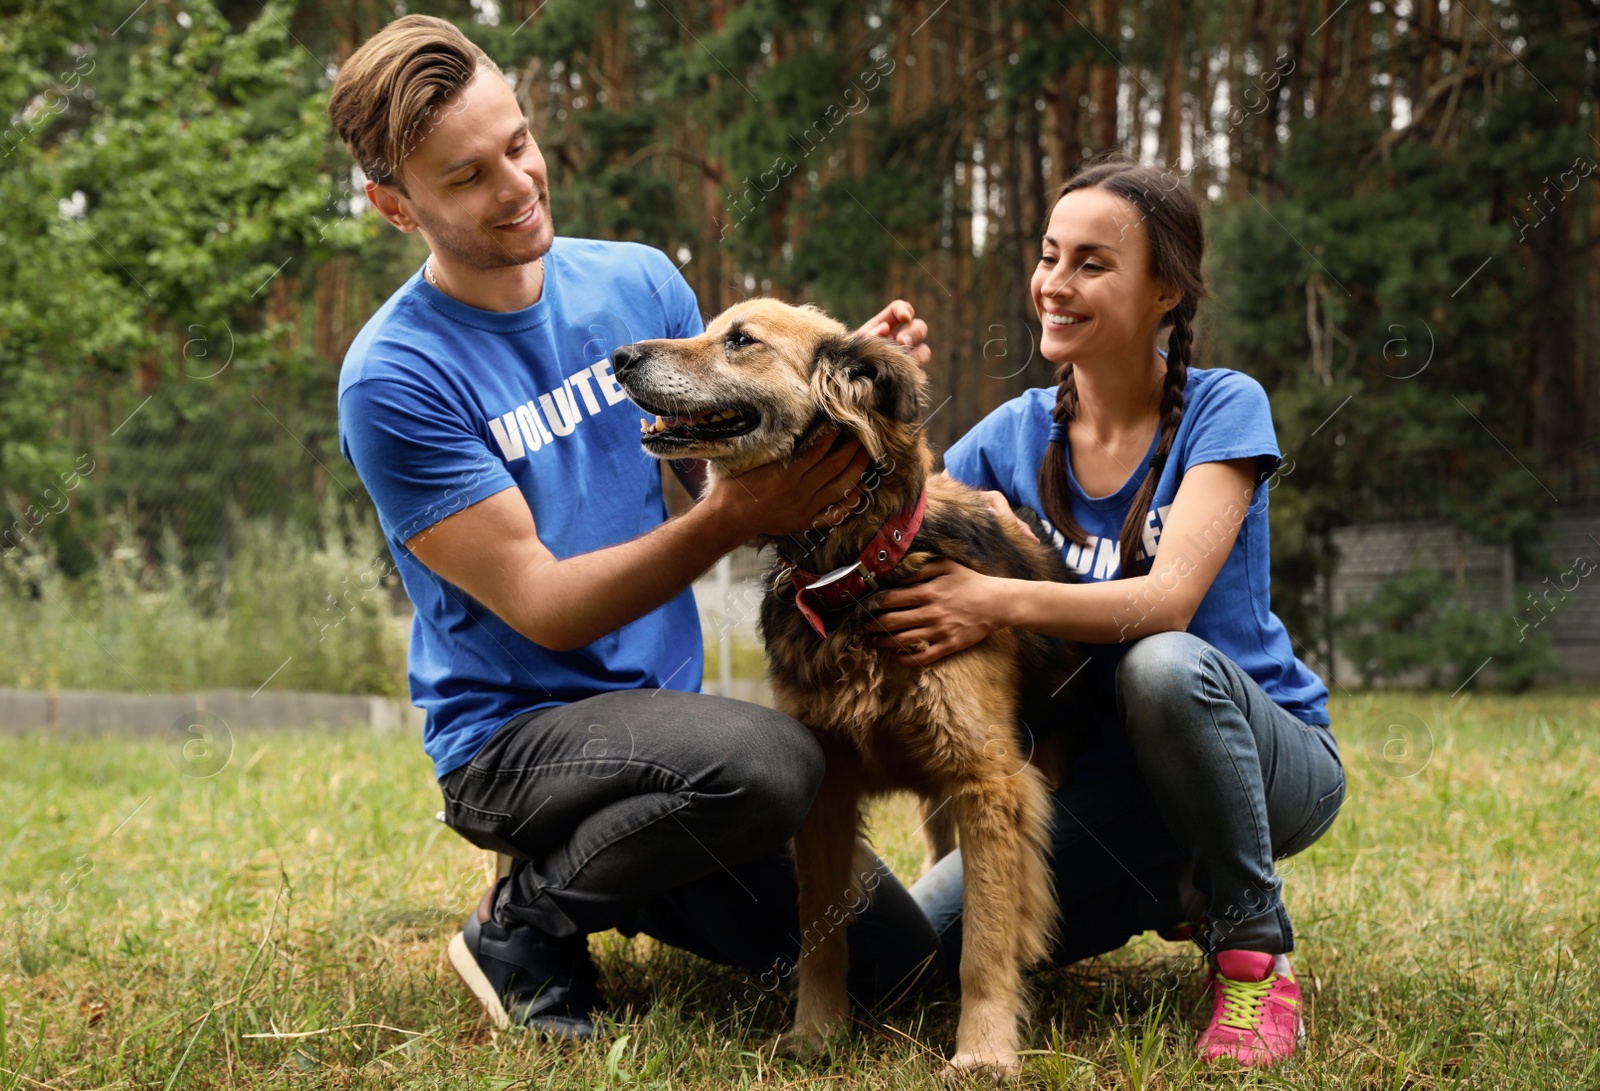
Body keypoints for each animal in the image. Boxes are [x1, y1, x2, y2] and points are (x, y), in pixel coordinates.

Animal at [611, 297, 1088, 1068]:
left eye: (740, 340)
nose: (618, 358)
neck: (854, 568)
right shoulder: (827, 789)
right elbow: (820, 933)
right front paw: (816, 1032)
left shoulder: (988, 783)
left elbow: (985, 941)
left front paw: (984, 1051)